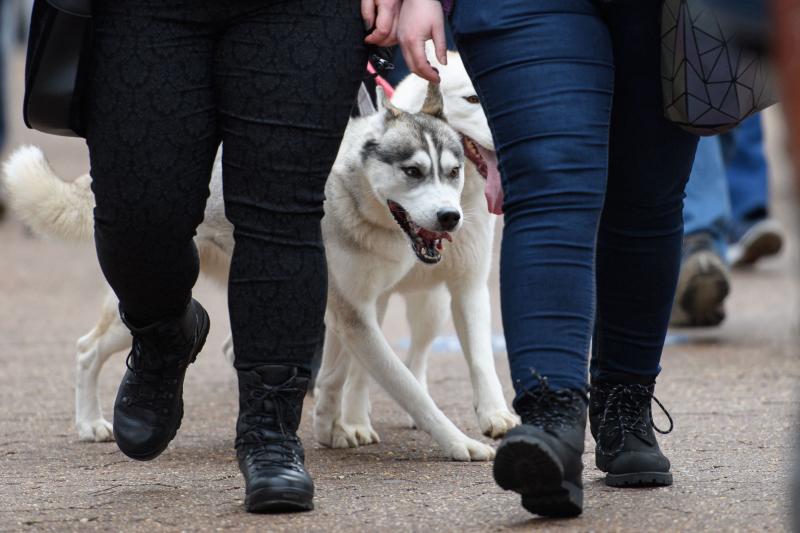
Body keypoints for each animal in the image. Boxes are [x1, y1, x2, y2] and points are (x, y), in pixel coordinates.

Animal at [3, 51, 516, 458]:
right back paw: (90, 423)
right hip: (145, 293)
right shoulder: (355, 313)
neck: (353, 198)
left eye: (452, 172)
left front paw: (331, 426)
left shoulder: (352, 309)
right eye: (413, 171)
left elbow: (338, 373)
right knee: (86, 348)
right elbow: (408, 390)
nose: (450, 217)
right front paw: (459, 443)